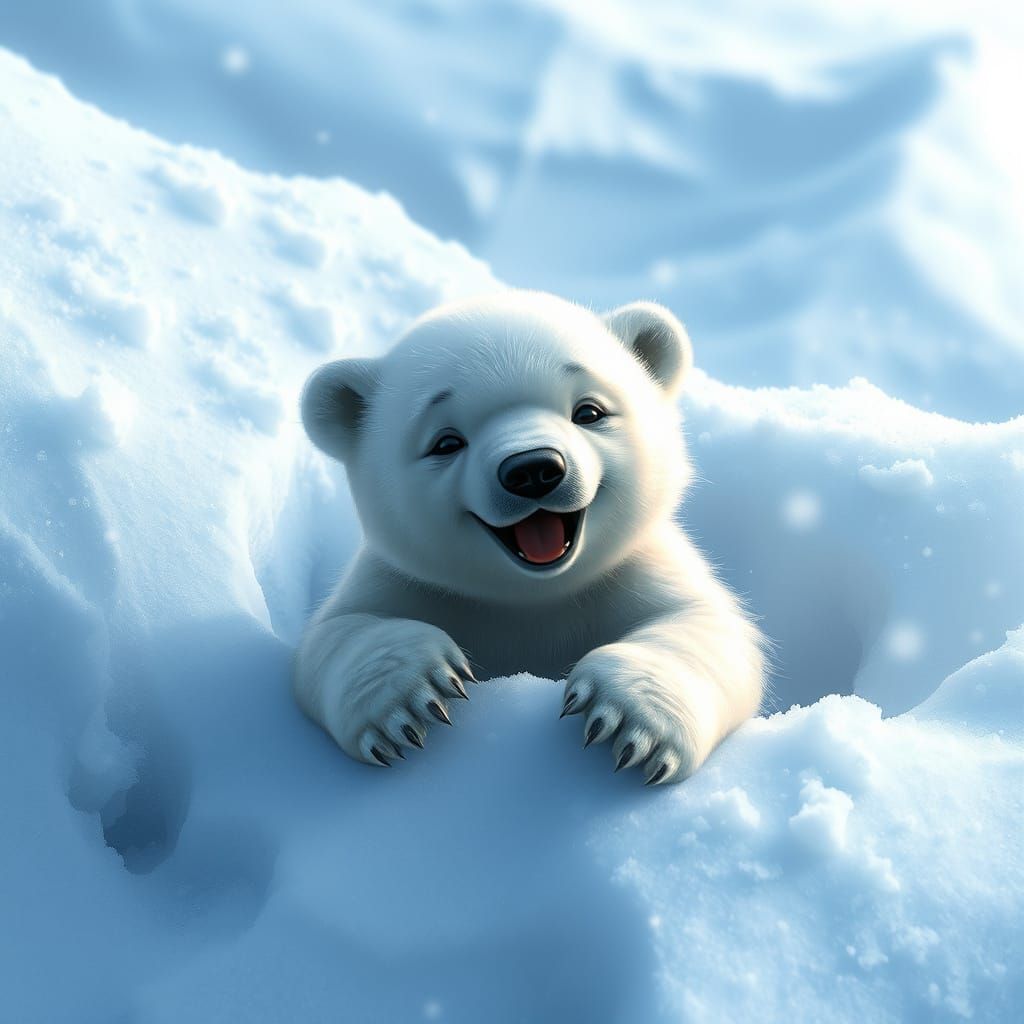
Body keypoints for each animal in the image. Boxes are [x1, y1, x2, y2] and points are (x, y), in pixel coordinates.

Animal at [294, 290, 765, 784]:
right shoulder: (409, 583)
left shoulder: (632, 571)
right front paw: (408, 698)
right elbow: (338, 634)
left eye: (589, 412)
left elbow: (703, 624)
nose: (533, 469)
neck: (532, 598)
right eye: (446, 442)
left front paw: (633, 719)